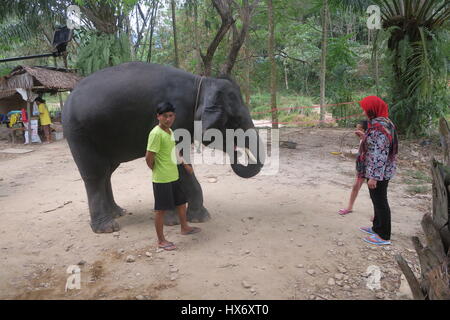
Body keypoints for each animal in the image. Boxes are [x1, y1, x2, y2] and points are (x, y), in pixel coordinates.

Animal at [62, 62, 264, 232]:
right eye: (235, 120)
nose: (237, 152)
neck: (201, 83)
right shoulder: (175, 117)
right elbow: (176, 162)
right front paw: (188, 219)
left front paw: (186, 217)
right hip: (78, 134)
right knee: (94, 174)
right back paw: (107, 227)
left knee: (107, 172)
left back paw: (118, 212)